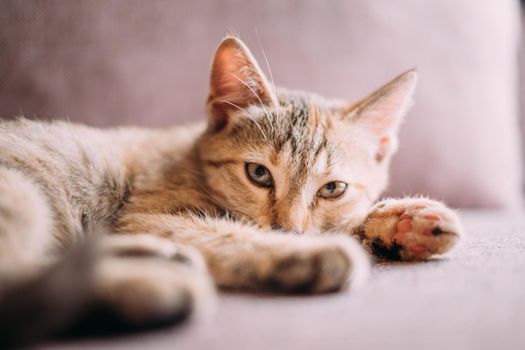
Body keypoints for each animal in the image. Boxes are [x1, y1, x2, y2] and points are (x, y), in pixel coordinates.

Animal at [0, 36, 458, 344]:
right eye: (258, 174)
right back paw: (155, 285)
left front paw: (402, 223)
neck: (192, 162)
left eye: (333, 188)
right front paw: (305, 251)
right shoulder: (143, 214)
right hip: (22, 193)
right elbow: (228, 233)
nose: (287, 229)